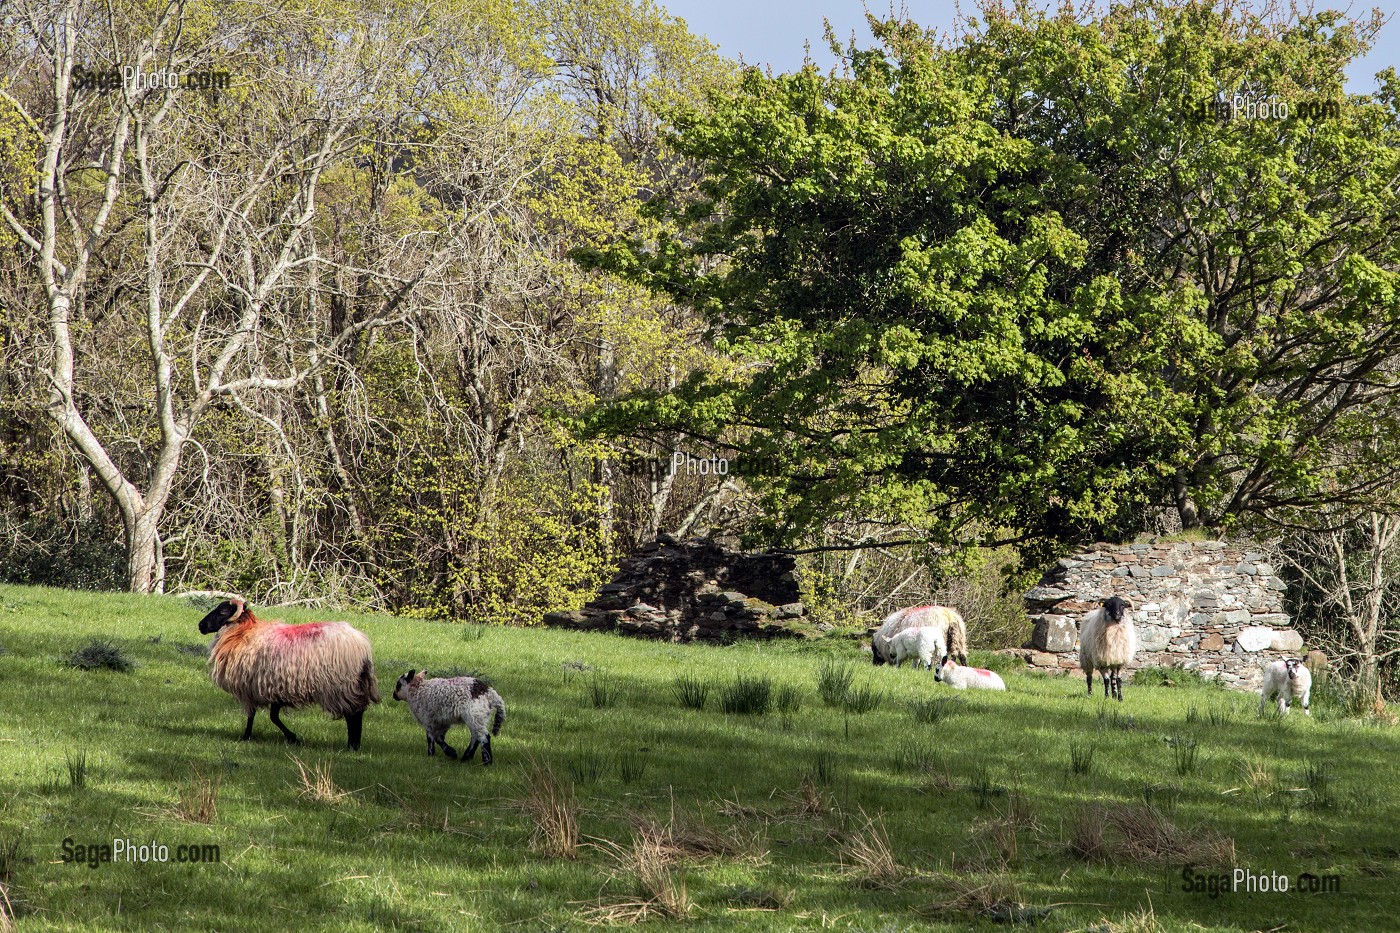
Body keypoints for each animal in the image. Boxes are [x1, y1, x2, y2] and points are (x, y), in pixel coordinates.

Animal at [196, 597, 380, 749]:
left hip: (342, 685)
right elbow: (271, 716)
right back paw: (354, 744)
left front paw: (247, 737)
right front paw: (291, 737)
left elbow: (258, 716)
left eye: (222, 612)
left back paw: (352, 745)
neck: (243, 632)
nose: (201, 626)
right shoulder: (274, 687)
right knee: (357, 710)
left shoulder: (253, 688)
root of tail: (362, 644)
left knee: (354, 713)